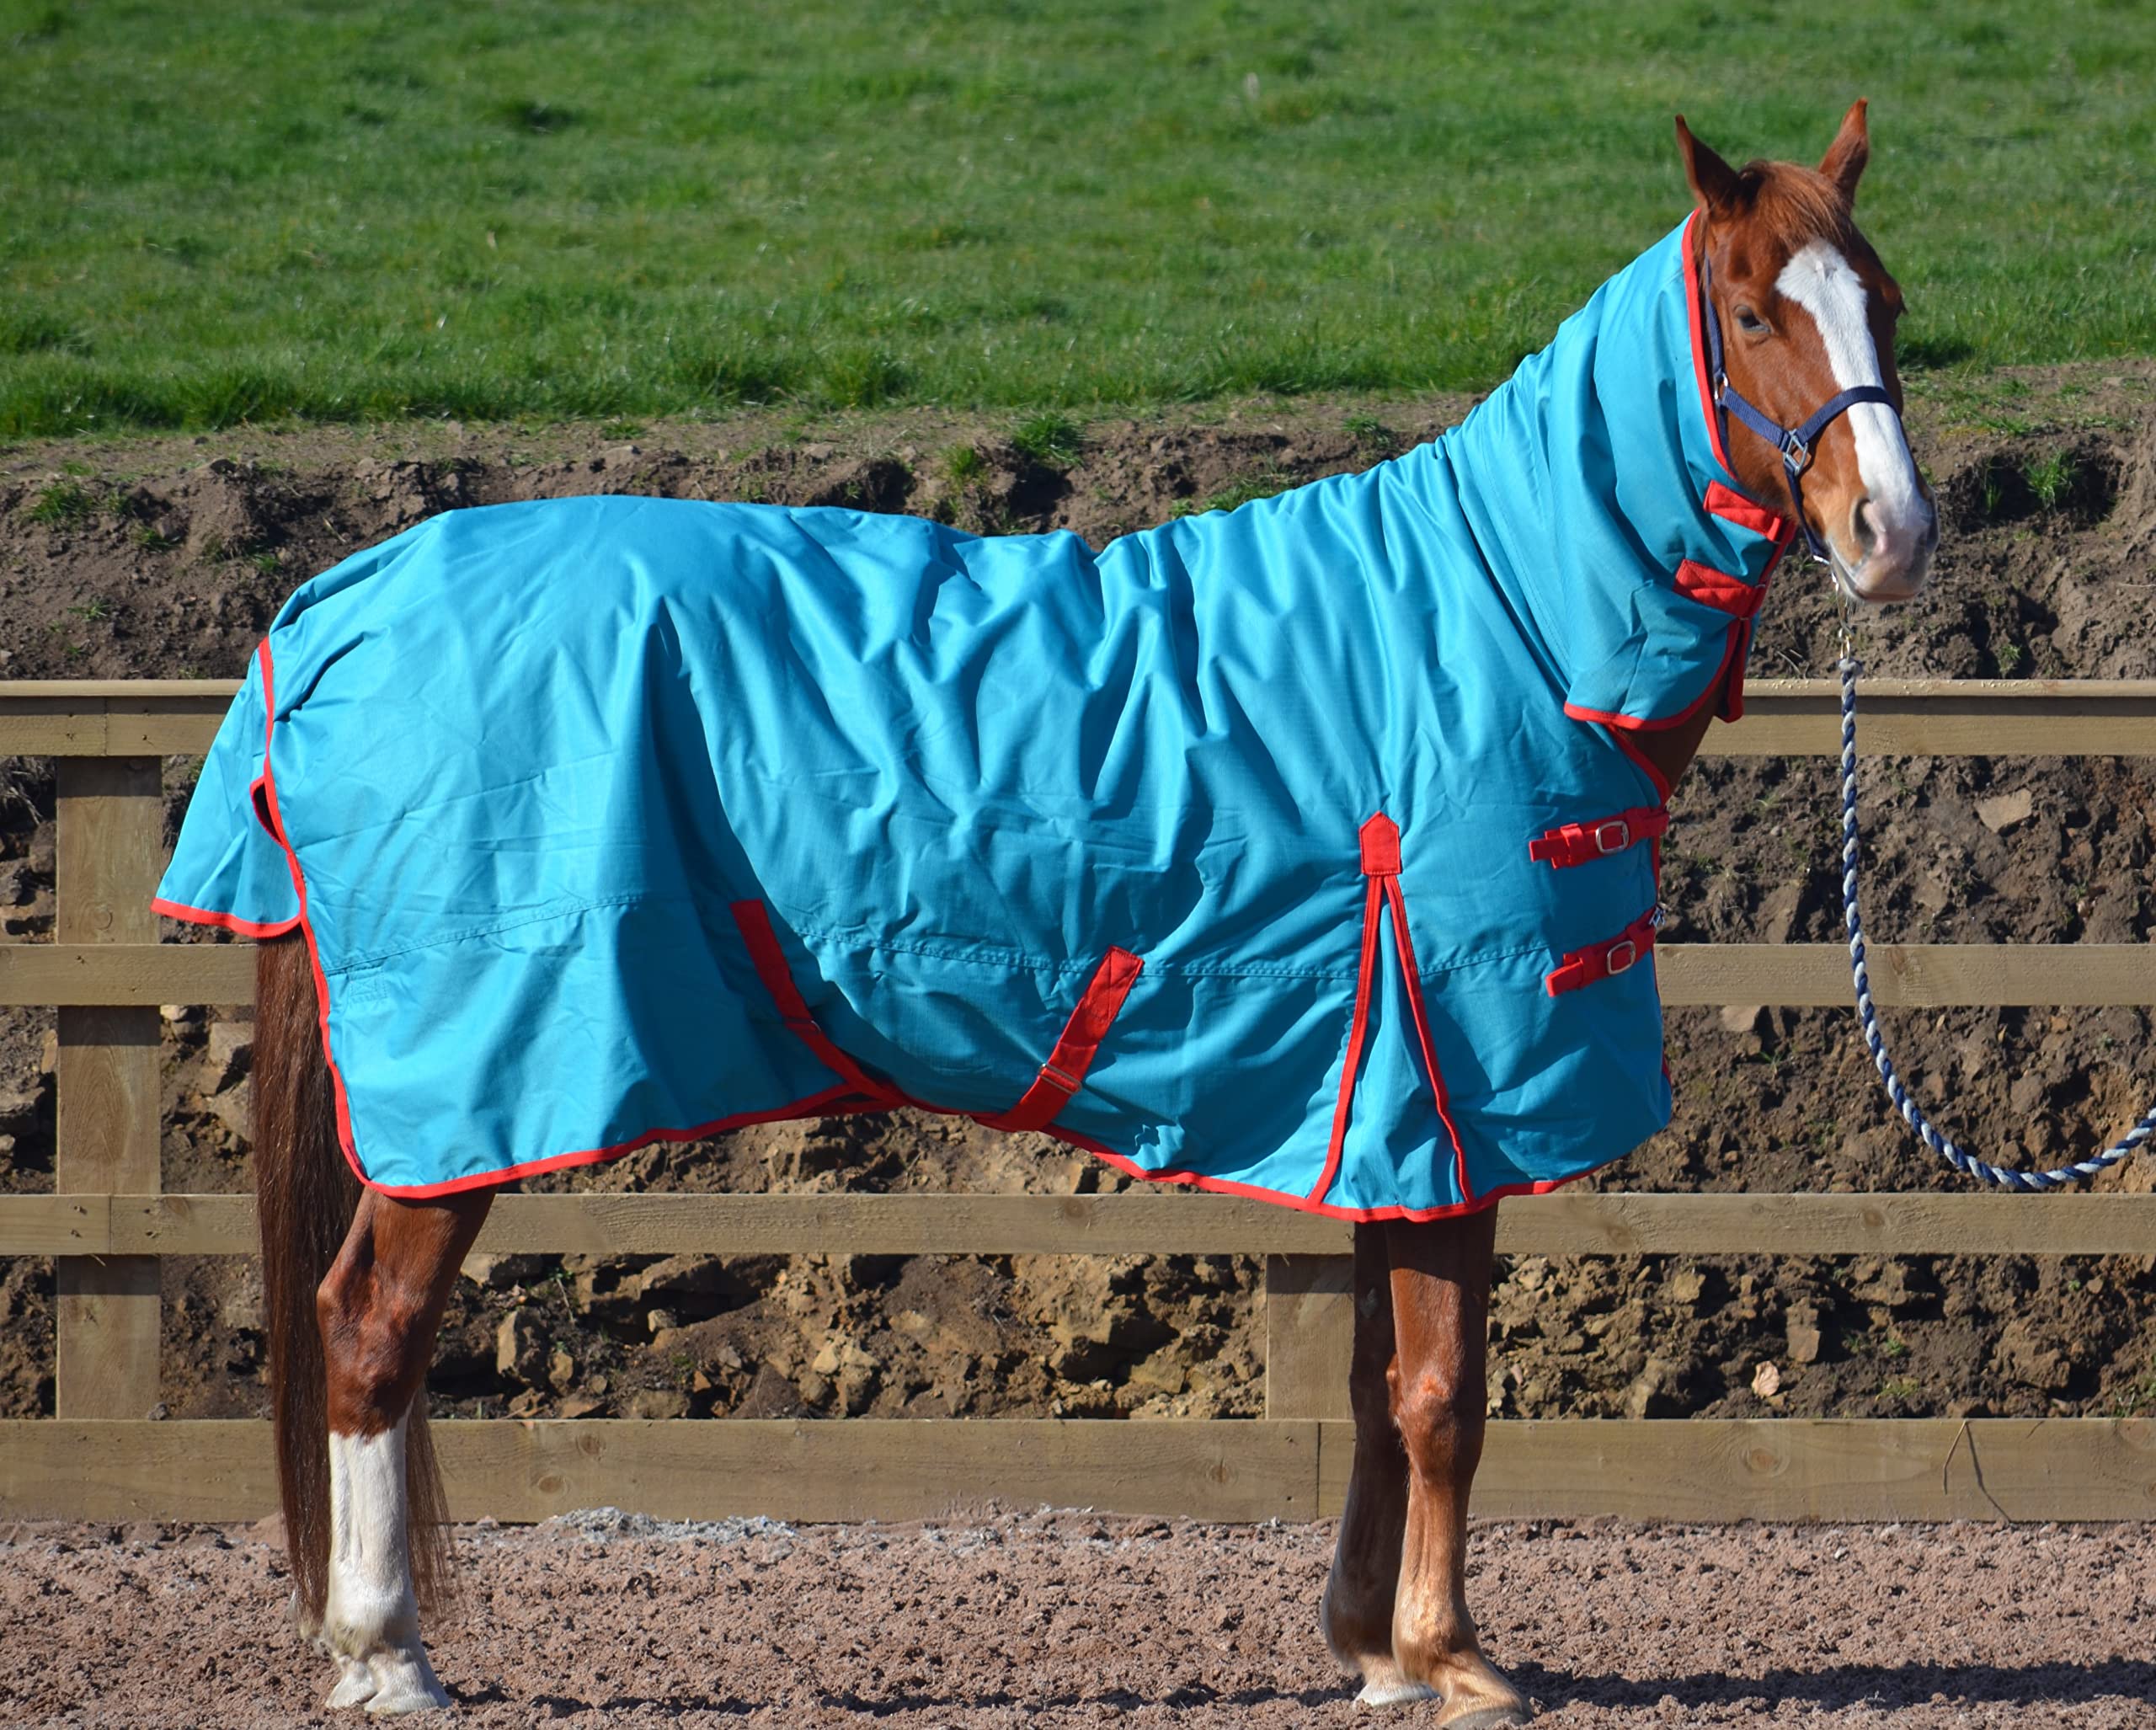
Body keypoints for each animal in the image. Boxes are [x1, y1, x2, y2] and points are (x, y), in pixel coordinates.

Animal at [168, 101, 1934, 1719]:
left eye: (1891, 303)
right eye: (1756, 311)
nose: (1896, 533)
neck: (1485, 622)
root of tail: (336, 600)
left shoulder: (1387, 1106)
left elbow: (1377, 1387)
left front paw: (1371, 1644)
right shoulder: (1458, 1089)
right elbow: (1445, 1387)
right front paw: (1451, 1656)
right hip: (470, 1090)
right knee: (370, 1326)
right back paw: (384, 1655)